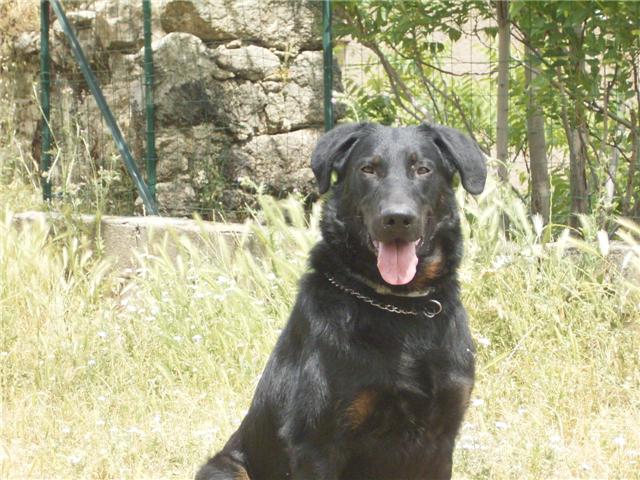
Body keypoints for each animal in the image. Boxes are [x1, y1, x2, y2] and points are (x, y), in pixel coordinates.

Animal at [195, 122, 484, 478]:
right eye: (368, 169)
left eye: (423, 169)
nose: (397, 219)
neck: (399, 305)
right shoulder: (318, 443)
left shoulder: (441, 441)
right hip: (224, 467)